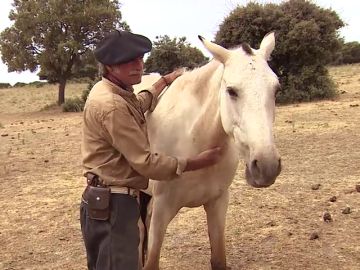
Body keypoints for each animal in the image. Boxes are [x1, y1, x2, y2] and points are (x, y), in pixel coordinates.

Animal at [140, 32, 282, 270]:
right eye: (231, 91)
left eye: (276, 89)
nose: (267, 166)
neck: (196, 139)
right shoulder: (162, 208)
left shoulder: (218, 203)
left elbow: (218, 260)